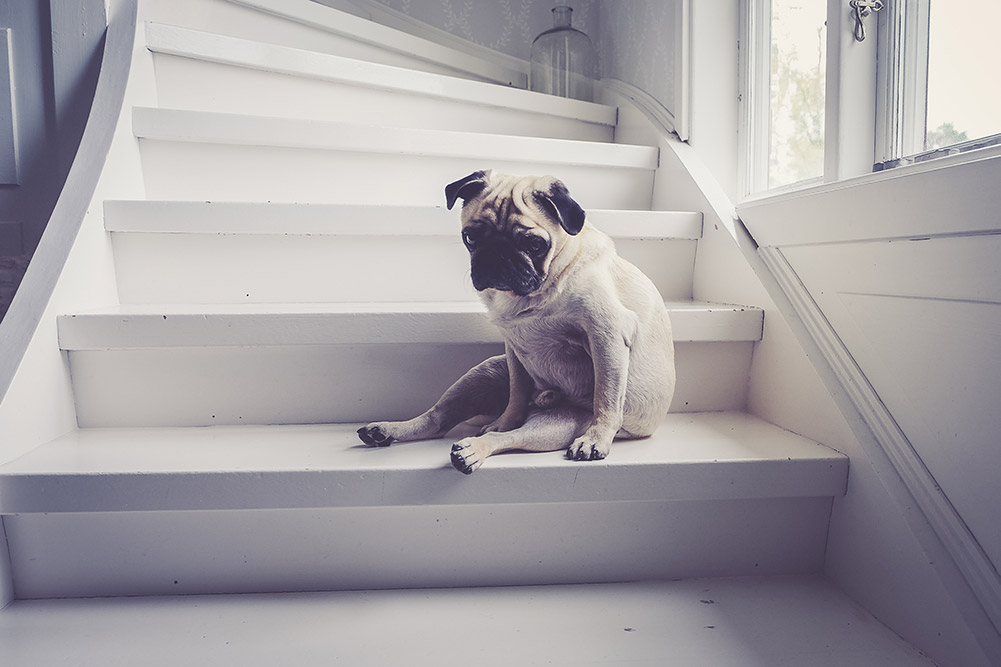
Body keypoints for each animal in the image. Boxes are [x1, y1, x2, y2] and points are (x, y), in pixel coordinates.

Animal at [356, 171, 676, 472]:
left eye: (534, 244)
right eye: (471, 237)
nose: (498, 253)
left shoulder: (606, 335)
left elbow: (607, 397)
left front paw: (596, 439)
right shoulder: (514, 350)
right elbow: (517, 394)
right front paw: (506, 419)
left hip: (557, 425)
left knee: (509, 438)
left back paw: (472, 451)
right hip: (485, 372)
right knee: (438, 420)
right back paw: (387, 430)